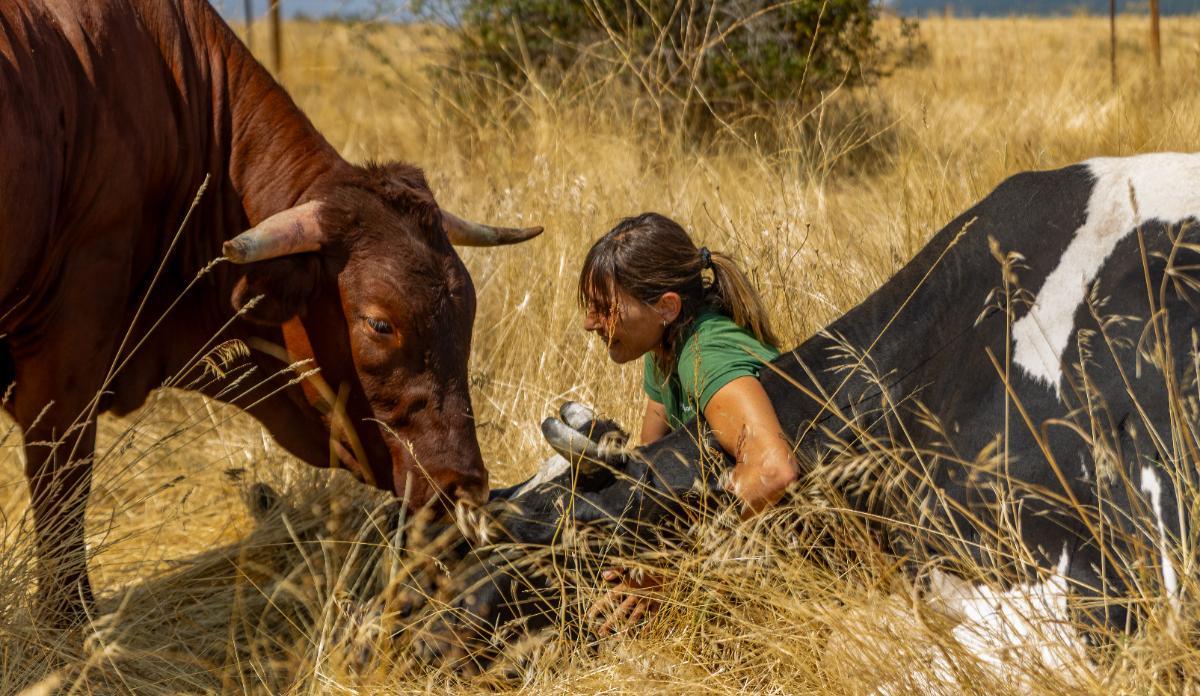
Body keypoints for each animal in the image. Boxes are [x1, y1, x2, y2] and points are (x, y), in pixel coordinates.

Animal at [0, 0, 540, 625]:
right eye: (380, 324)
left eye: (468, 313)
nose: (461, 487)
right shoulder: (65, 370)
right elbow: (62, 494)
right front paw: (71, 619)